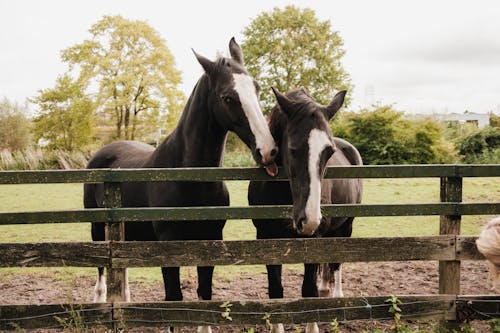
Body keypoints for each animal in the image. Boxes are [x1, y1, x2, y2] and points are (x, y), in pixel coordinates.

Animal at [83, 39, 276, 322]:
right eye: (228, 97)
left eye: (257, 89)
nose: (268, 150)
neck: (189, 176)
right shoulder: (168, 244)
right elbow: (173, 299)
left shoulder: (210, 238)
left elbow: (204, 294)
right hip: (97, 229)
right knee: (100, 269)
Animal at [248, 87, 362, 332]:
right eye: (293, 148)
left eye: (329, 152)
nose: (308, 220)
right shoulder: (266, 238)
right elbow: (275, 291)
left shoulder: (315, 236)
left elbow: (308, 291)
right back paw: (326, 287)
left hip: (346, 226)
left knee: (337, 262)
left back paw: (336, 296)